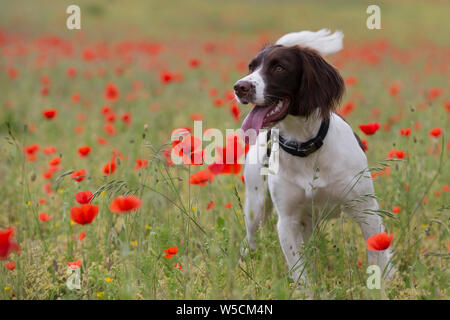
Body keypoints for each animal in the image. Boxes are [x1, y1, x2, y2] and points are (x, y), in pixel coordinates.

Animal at [236, 29, 394, 288]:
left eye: (279, 68)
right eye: (251, 66)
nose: (240, 87)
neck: (305, 147)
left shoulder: (367, 211)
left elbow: (379, 261)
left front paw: (383, 287)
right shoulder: (288, 222)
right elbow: (301, 276)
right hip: (256, 208)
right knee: (250, 241)